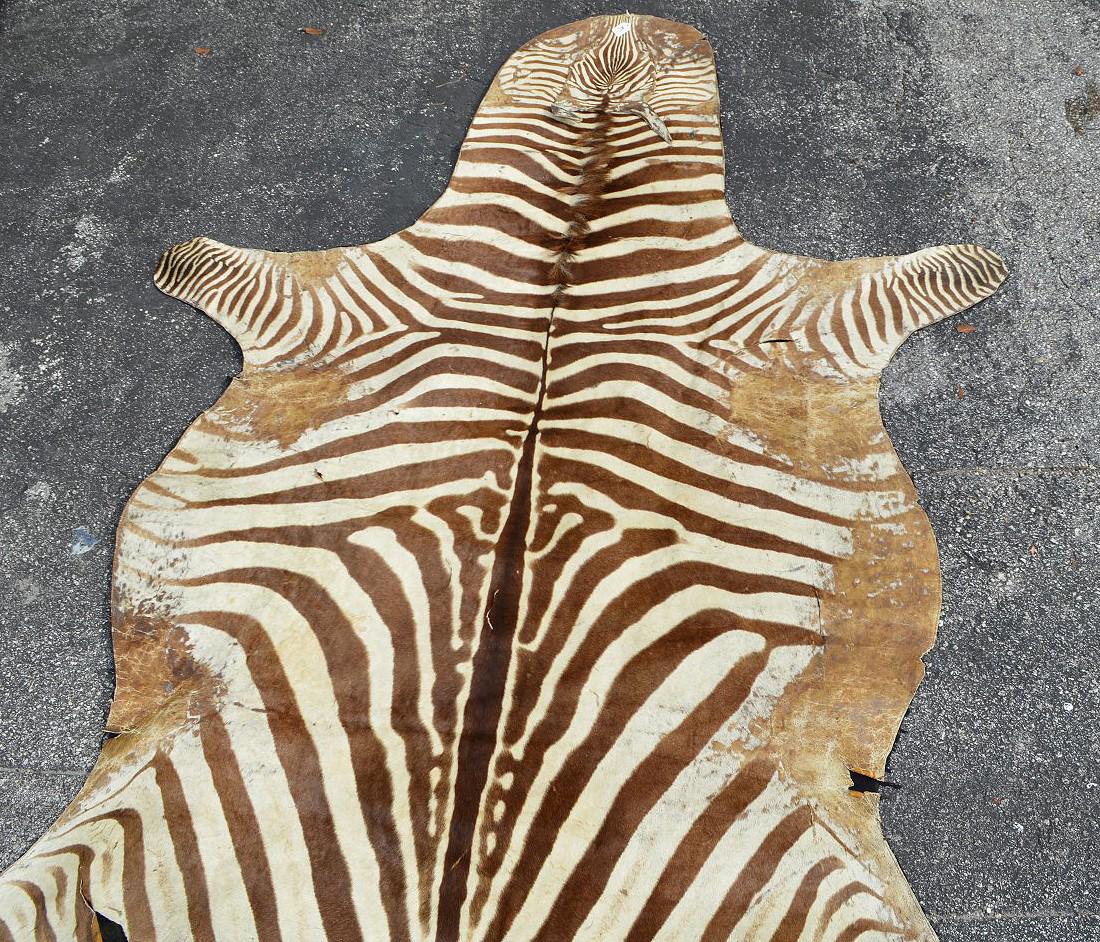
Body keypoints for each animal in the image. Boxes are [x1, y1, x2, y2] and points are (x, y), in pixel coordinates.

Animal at [0, 13, 1005, 942]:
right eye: (584, 49)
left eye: (654, 51)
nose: (628, 20)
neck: (574, 237)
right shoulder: (330, 299)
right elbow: (215, 265)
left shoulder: (801, 312)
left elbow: (917, 278)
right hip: (117, 800)